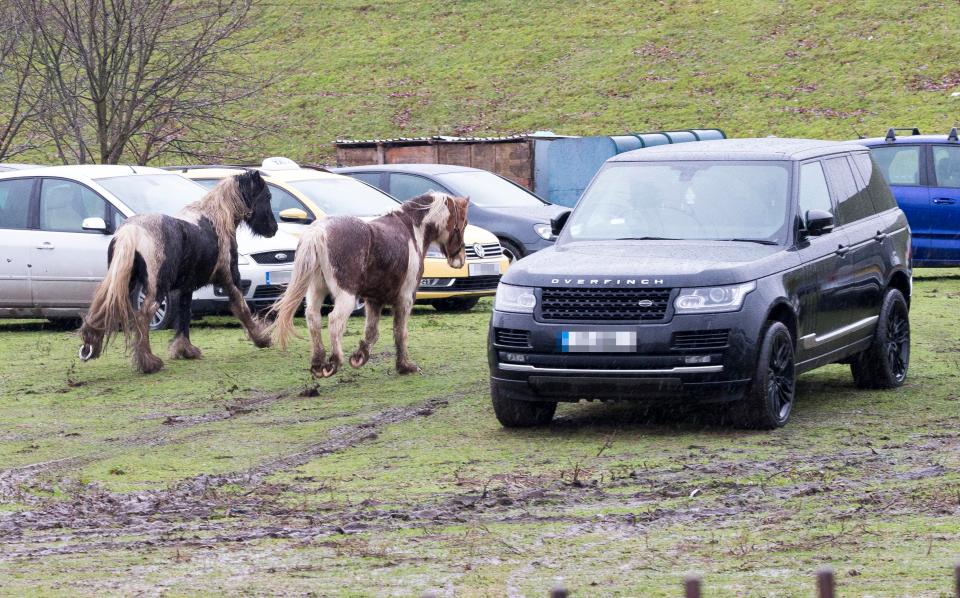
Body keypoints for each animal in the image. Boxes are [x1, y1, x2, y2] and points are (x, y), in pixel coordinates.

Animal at [79, 170, 276, 376]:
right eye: (268, 196)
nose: (274, 228)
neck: (216, 220)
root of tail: (130, 233)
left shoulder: (186, 288)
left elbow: (183, 315)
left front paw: (184, 350)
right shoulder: (230, 280)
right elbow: (242, 308)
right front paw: (262, 339)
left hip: (124, 284)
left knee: (100, 313)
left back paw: (91, 348)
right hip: (155, 291)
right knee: (141, 319)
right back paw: (149, 363)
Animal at [270, 192, 468, 378]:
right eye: (464, 223)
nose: (460, 259)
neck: (412, 230)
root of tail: (318, 232)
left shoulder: (374, 299)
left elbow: (372, 331)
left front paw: (360, 356)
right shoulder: (405, 298)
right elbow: (400, 332)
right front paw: (405, 366)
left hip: (315, 290)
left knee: (313, 318)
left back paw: (318, 364)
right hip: (346, 296)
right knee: (334, 320)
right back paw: (334, 362)